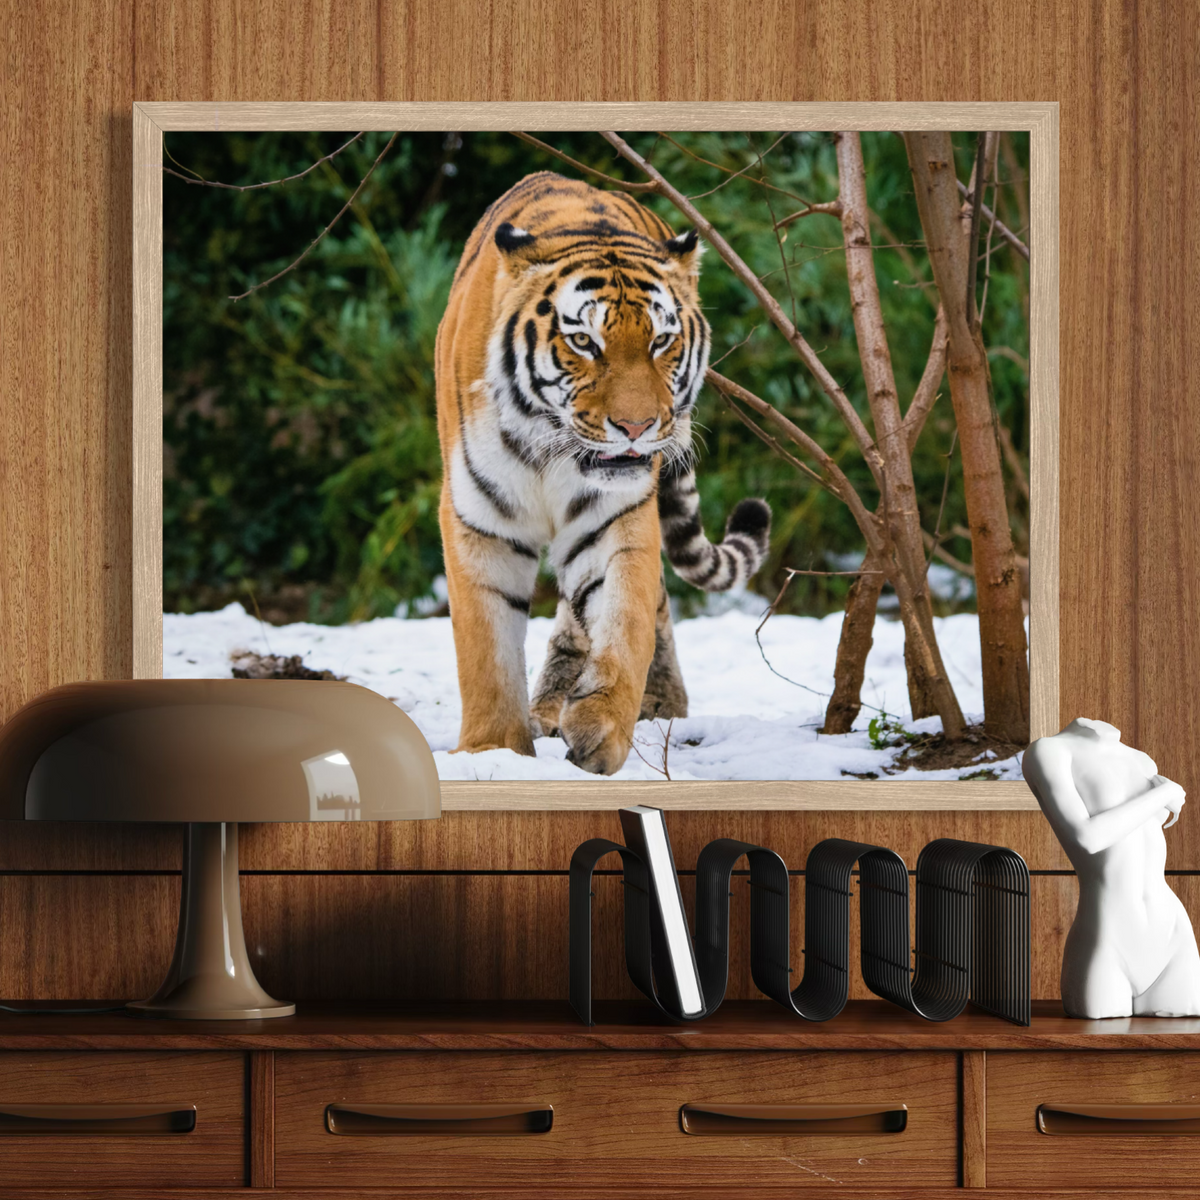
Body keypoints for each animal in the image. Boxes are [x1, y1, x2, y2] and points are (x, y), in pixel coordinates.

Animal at [434, 171, 771, 775]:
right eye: (583, 342)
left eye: (661, 341)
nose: (637, 427)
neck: (547, 447)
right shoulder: (479, 522)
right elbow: (486, 650)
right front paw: (491, 752)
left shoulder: (615, 515)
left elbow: (625, 618)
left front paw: (603, 728)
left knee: (638, 605)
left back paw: (655, 703)